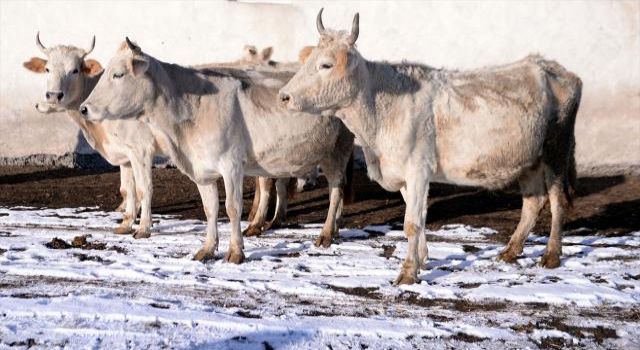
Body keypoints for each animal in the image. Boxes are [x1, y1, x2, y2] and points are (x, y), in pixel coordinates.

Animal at [80, 38, 356, 262]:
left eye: (118, 75)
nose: (84, 108)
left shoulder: (231, 165)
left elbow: (232, 208)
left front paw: (235, 252)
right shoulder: (202, 169)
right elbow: (210, 208)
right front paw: (208, 249)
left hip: (337, 148)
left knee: (336, 188)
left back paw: (326, 233)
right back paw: (336, 228)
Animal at [278, 9, 584, 284]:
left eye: (326, 65)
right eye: (308, 60)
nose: (284, 96)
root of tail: (551, 67)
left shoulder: (418, 168)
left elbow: (411, 223)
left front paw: (407, 273)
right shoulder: (404, 173)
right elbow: (417, 219)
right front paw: (423, 259)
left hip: (556, 148)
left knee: (556, 200)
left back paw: (551, 255)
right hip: (528, 158)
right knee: (533, 202)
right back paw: (510, 251)